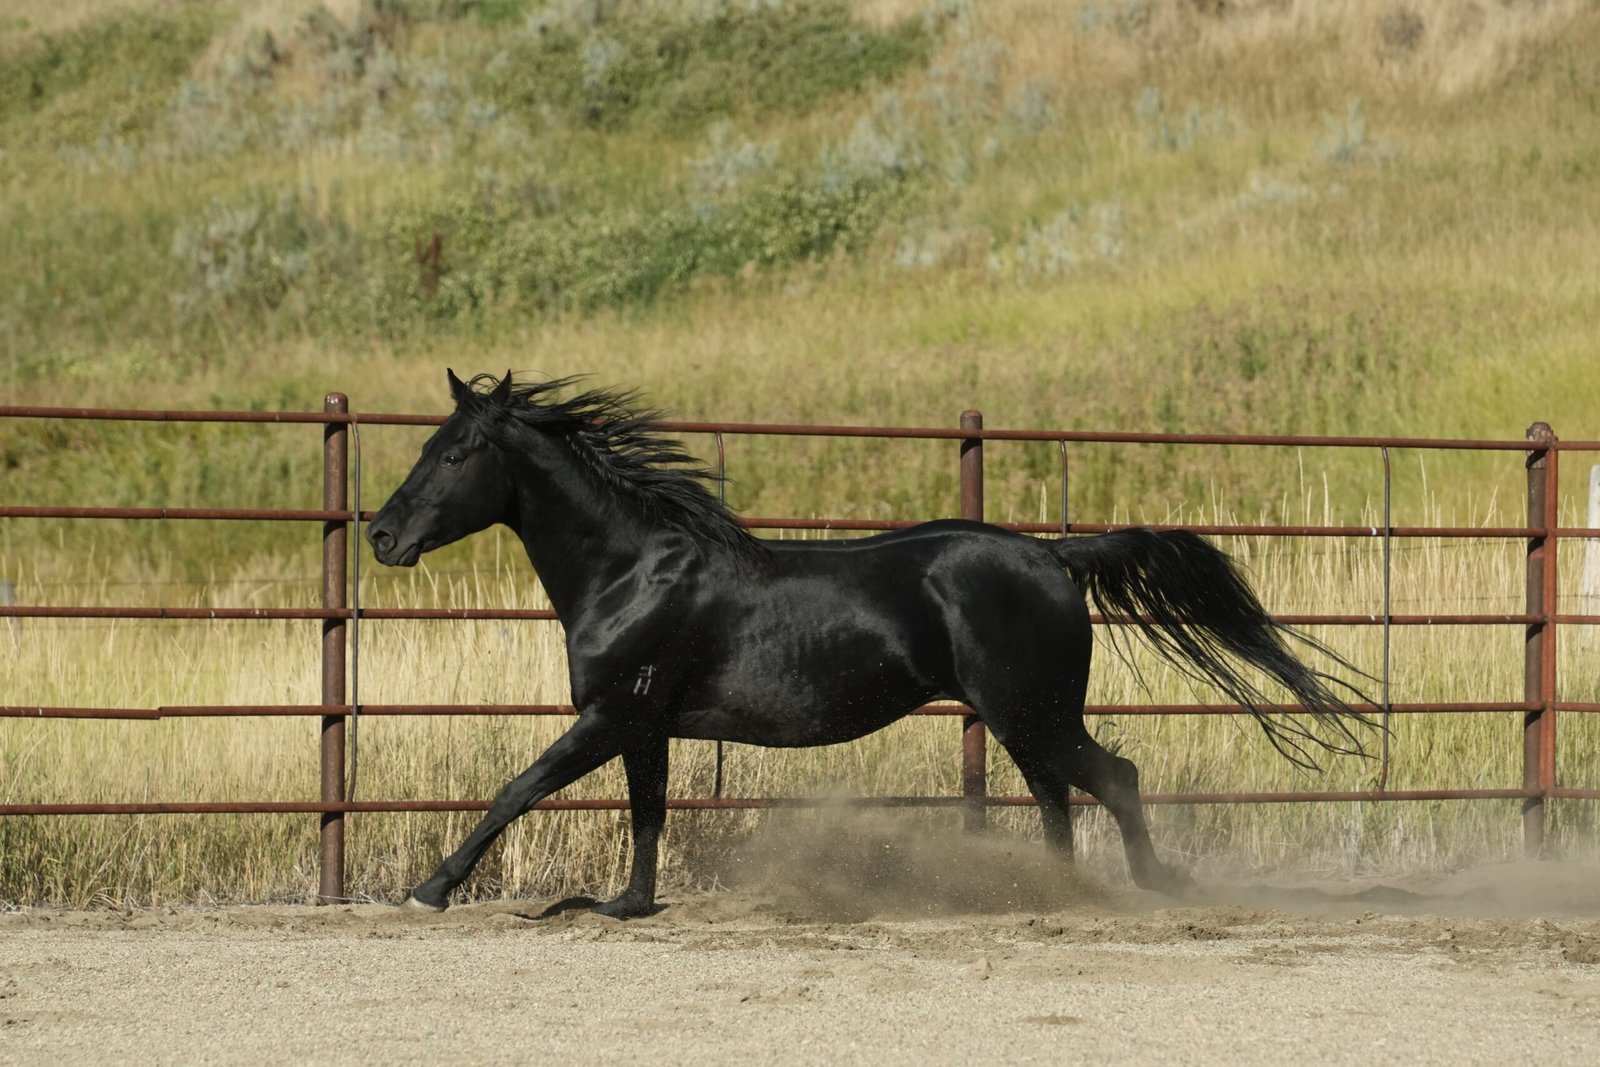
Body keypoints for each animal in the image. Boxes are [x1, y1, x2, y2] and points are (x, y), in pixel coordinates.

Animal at [366, 370, 1371, 917]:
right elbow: (646, 814)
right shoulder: (644, 725)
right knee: (1059, 793)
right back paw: (1046, 891)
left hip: (1030, 708)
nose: (380, 535)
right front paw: (628, 905)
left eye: (453, 454)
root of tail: (1051, 554)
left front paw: (432, 887)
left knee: (1110, 777)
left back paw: (1140, 886)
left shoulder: (612, 714)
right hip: (1023, 715)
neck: (634, 567)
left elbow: (518, 788)